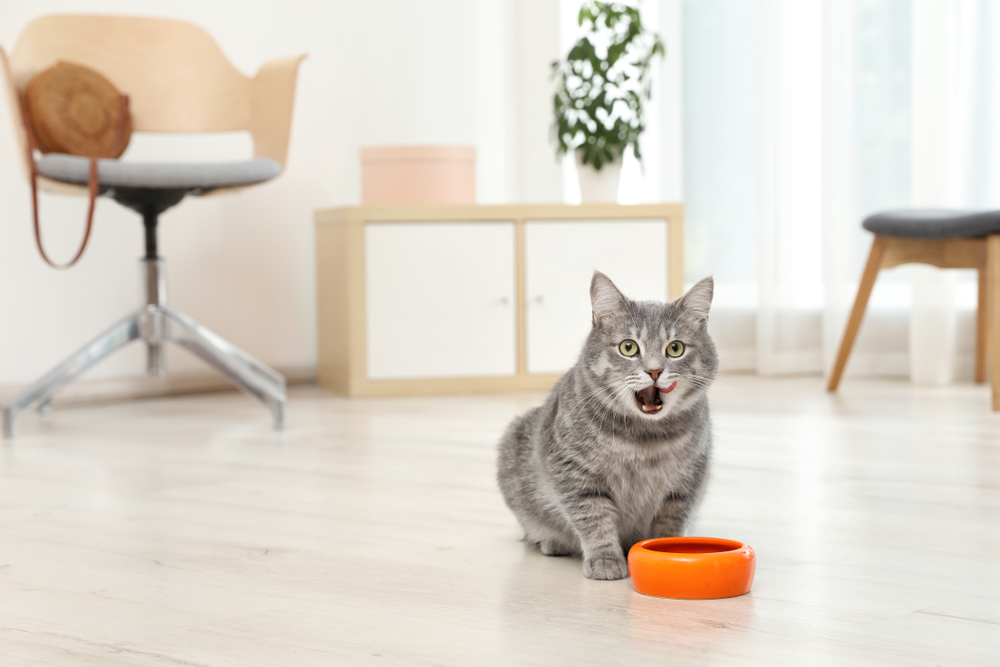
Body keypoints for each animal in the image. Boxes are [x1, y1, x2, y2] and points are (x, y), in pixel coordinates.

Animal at [496, 270, 716, 580]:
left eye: (675, 348)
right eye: (628, 347)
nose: (654, 370)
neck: (645, 437)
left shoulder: (689, 478)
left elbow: (671, 520)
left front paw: (669, 550)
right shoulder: (574, 472)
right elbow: (594, 517)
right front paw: (605, 559)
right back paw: (552, 541)